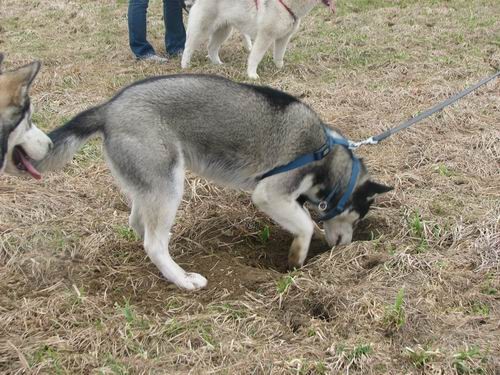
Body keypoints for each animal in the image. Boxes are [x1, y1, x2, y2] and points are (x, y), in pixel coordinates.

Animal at [37, 74, 392, 290]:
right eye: (359, 217)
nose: (345, 246)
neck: (327, 154)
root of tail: (109, 108)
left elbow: (303, 218)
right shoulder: (269, 193)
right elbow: (304, 225)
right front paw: (296, 257)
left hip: (151, 184)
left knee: (141, 225)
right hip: (170, 185)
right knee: (154, 243)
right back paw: (181, 278)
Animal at [181, 0, 336, 78]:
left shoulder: (284, 38)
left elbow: (279, 55)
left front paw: (280, 68)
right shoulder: (265, 36)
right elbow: (255, 57)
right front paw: (252, 75)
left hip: (224, 30)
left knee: (211, 48)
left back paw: (218, 64)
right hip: (202, 30)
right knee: (188, 47)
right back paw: (185, 66)